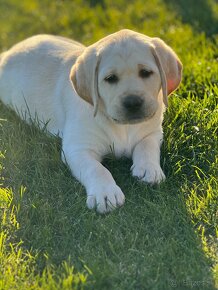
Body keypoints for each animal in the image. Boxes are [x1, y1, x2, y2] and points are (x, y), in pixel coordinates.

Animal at [0, 30, 182, 213]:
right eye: (110, 78)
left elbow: (147, 147)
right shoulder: (77, 149)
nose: (133, 103)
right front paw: (106, 193)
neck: (122, 127)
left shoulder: (154, 132)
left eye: (145, 72)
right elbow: (96, 169)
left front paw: (149, 169)